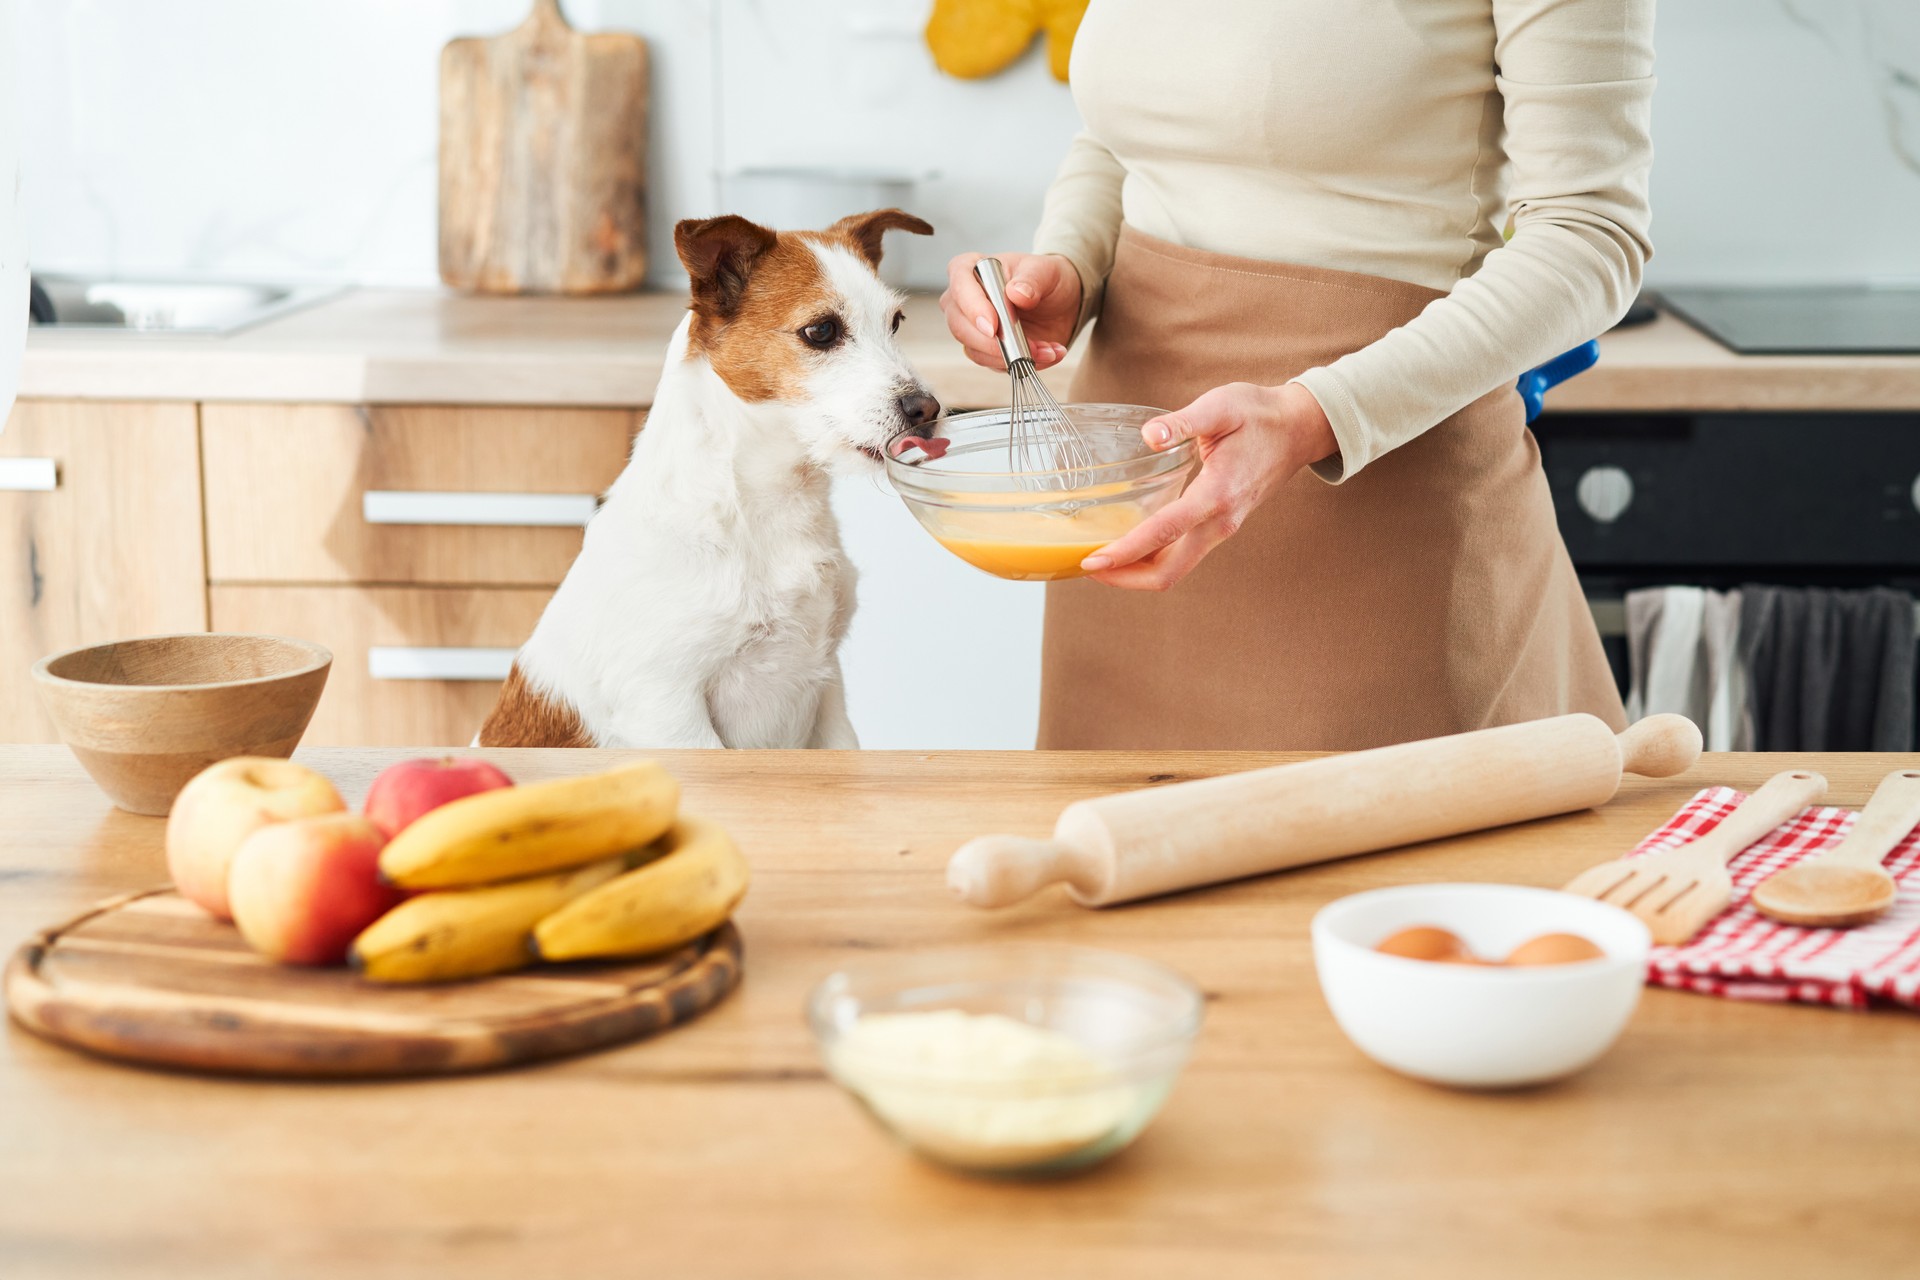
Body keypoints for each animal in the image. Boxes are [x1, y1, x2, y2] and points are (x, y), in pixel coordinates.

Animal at [472, 209, 936, 752]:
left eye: (896, 322)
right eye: (822, 330)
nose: (927, 409)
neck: (758, 507)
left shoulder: (827, 692)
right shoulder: (666, 708)